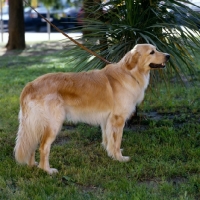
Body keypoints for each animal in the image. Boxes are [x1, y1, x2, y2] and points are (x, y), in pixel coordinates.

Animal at [14, 43, 170, 173]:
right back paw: (47, 170)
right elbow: (117, 141)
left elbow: (108, 140)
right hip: (54, 123)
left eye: (156, 49)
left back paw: (32, 165)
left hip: (35, 125)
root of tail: (30, 85)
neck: (130, 72)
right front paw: (120, 158)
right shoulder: (118, 119)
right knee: (43, 147)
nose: (168, 55)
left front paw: (111, 154)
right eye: (152, 52)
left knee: (33, 145)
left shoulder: (107, 120)